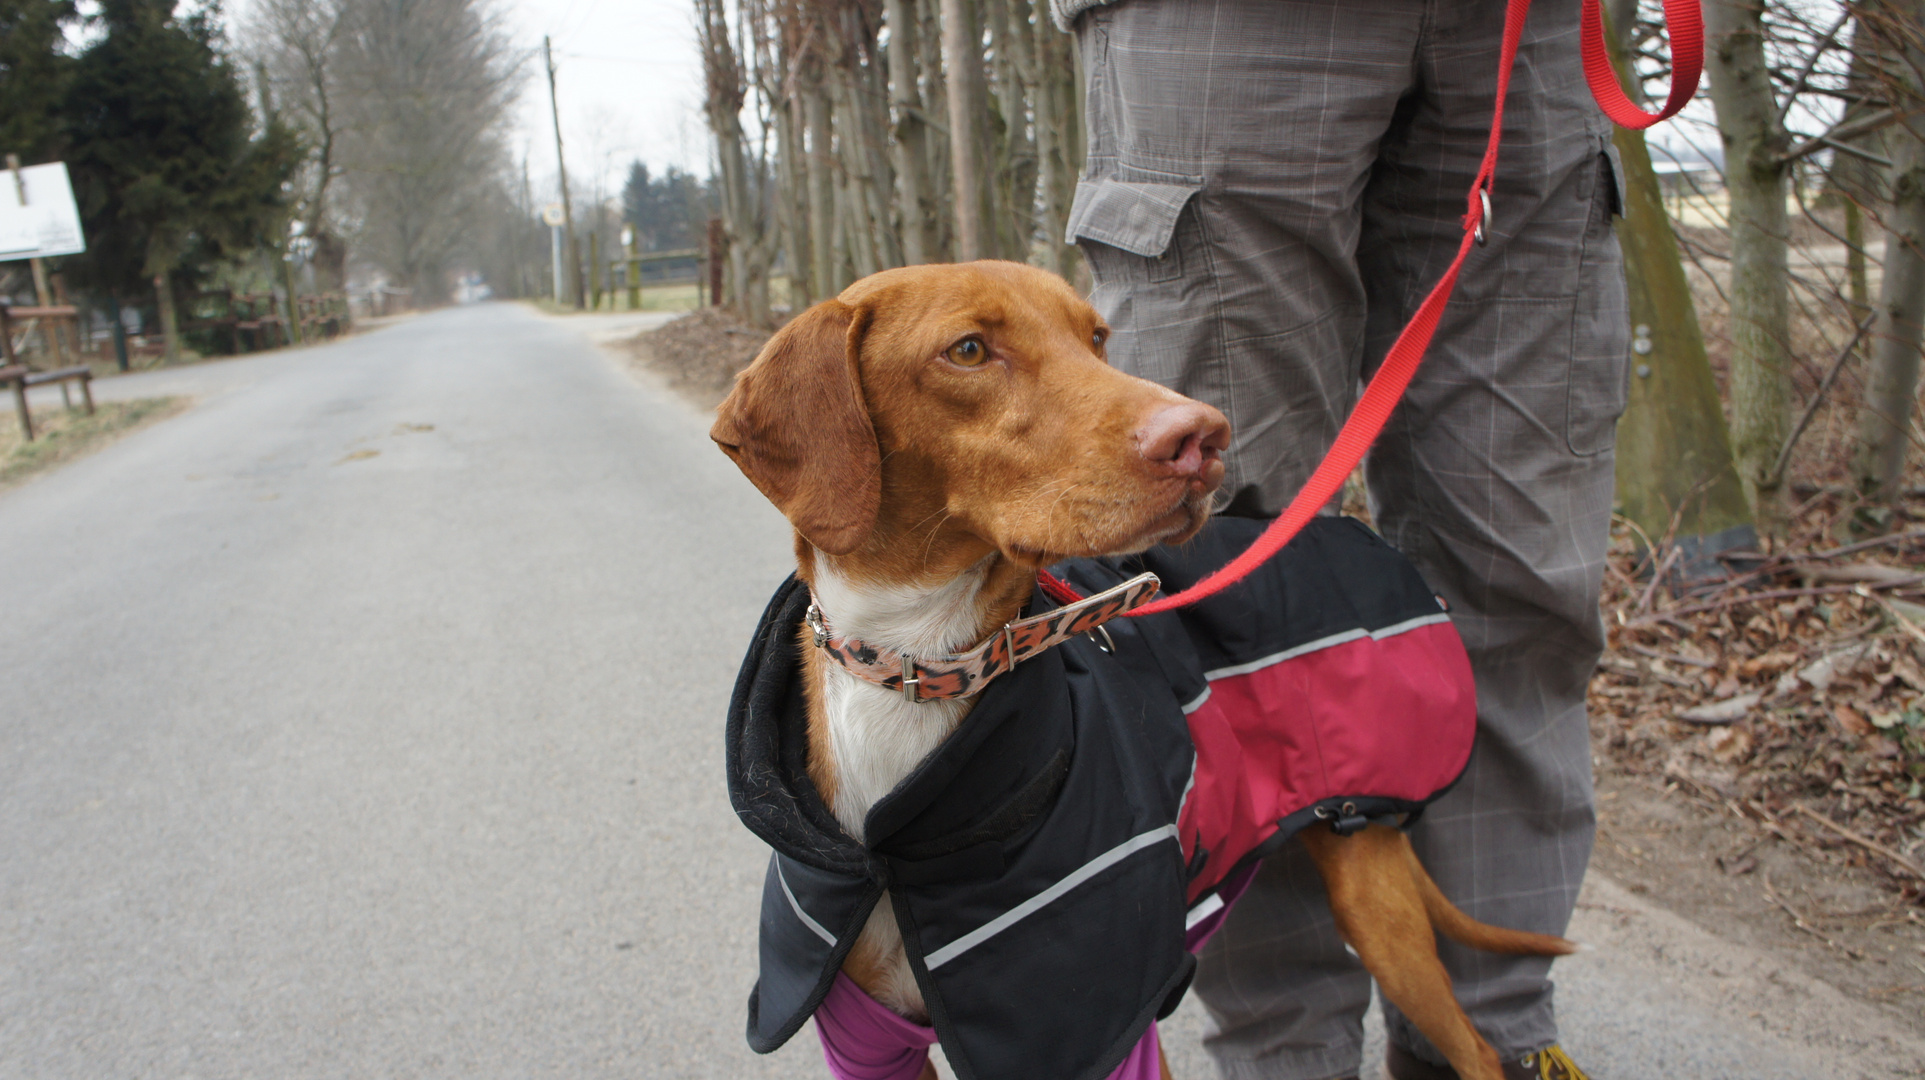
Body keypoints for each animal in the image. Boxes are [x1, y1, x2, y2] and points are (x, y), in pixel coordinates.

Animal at [716, 261, 1570, 1078]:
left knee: (1475, 1051)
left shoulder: (1098, 1036)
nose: (1203, 435)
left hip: (1371, 886)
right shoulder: (869, 1040)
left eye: (1096, 337)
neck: (919, 664)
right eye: (967, 350)